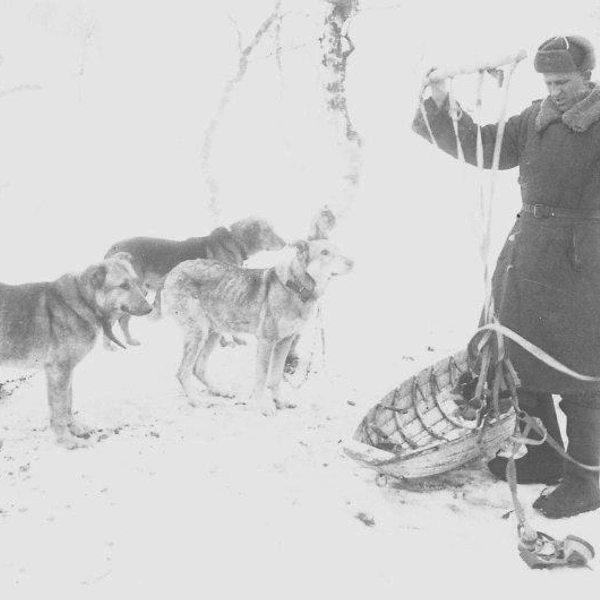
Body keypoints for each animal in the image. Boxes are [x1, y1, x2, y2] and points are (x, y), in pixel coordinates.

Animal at [0, 252, 152, 446]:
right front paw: (65, 439)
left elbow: (68, 404)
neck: (84, 301)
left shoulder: (67, 371)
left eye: (136, 281)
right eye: (124, 285)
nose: (150, 308)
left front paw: (74, 428)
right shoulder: (59, 371)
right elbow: (59, 409)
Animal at [103, 217, 286, 346]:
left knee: (120, 321)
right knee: (116, 320)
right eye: (268, 230)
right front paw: (228, 342)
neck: (234, 242)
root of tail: (112, 249)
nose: (285, 243)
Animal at [162, 239, 354, 418]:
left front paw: (279, 402)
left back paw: (219, 391)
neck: (296, 287)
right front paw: (262, 406)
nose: (352, 262)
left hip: (214, 332)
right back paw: (196, 401)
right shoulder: (266, 341)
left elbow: (275, 378)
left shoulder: (285, 342)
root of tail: (174, 270)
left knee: (198, 368)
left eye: (338, 250)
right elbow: (261, 379)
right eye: (324, 252)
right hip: (200, 333)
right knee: (182, 372)